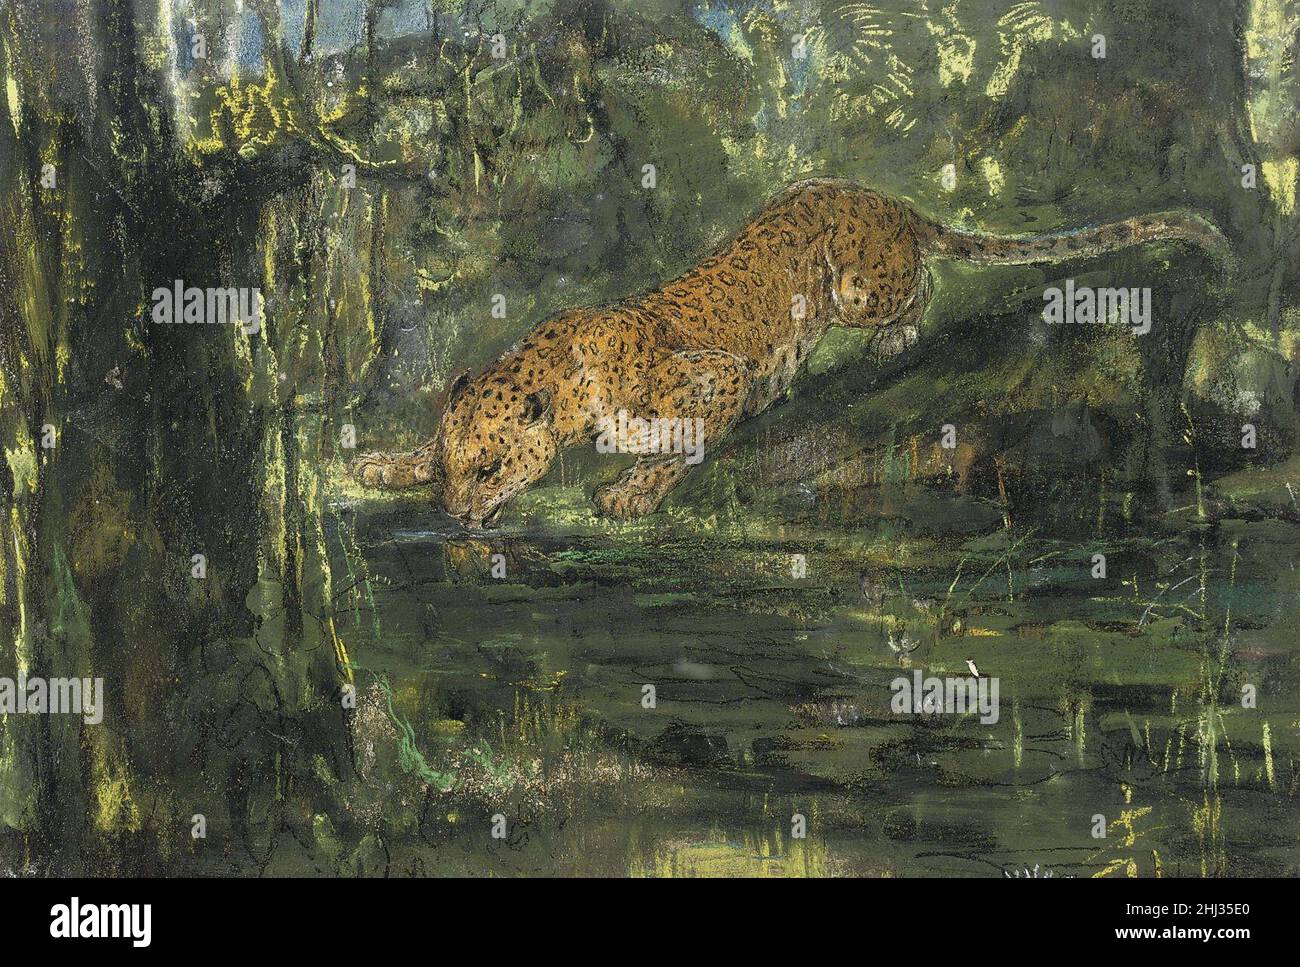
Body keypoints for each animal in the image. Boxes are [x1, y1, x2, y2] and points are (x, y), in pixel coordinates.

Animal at [351, 177, 1227, 528]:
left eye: (491, 468)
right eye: (456, 465)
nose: (453, 514)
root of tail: (890, 200)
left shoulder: (720, 376)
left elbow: (685, 443)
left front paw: (630, 494)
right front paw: (386, 463)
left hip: (860, 286)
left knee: (919, 284)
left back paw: (897, 334)